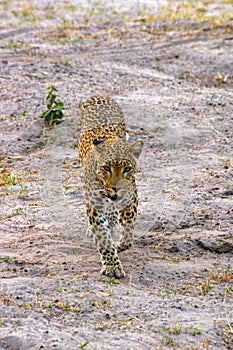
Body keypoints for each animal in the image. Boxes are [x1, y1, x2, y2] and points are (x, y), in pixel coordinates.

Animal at [78, 94, 142, 278]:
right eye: (106, 168)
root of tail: (99, 95)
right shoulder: (94, 205)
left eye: (127, 169)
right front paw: (112, 266)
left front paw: (119, 245)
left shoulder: (131, 197)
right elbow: (103, 237)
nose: (116, 189)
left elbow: (128, 235)